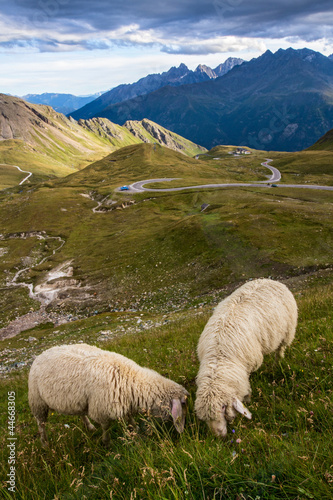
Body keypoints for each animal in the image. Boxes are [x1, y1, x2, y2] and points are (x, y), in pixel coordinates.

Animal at [27, 344, 188, 446]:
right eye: (183, 404)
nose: (185, 430)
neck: (131, 380)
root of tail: (42, 353)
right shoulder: (101, 408)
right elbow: (106, 427)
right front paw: (107, 442)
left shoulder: (123, 401)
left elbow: (129, 417)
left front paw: (134, 428)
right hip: (37, 401)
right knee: (41, 424)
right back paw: (45, 444)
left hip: (75, 400)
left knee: (80, 413)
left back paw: (89, 427)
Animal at [193, 280, 296, 436]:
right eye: (205, 418)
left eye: (223, 407)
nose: (219, 436)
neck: (219, 356)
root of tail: (269, 279)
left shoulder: (248, 365)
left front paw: (247, 398)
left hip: (287, 331)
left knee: (280, 349)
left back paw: (278, 362)